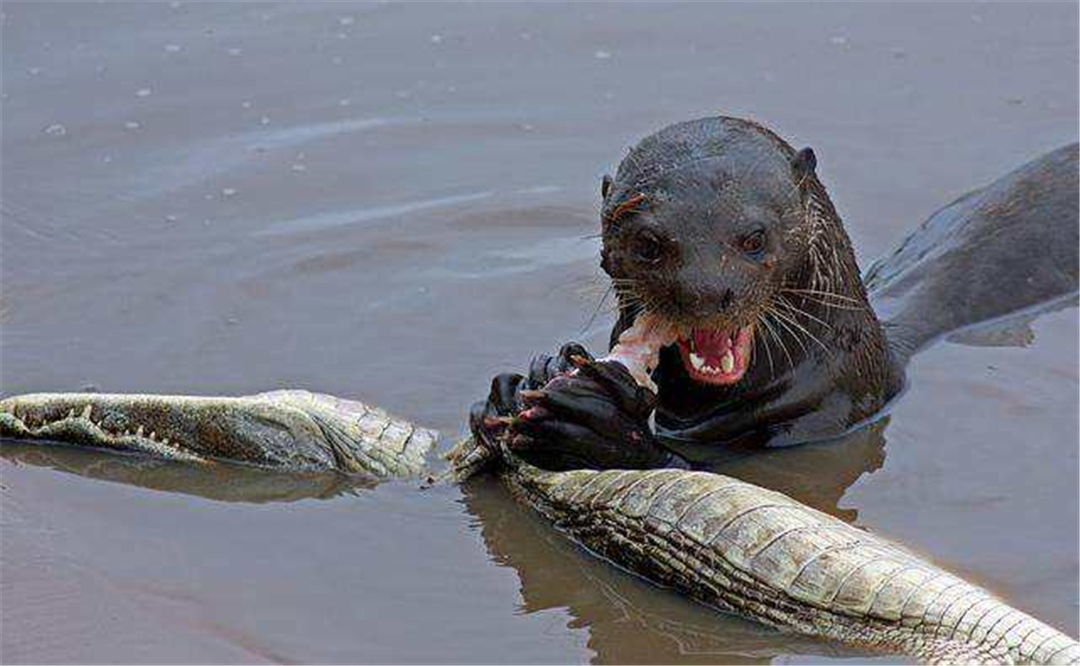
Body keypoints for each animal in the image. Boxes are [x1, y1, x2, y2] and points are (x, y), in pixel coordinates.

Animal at [470, 115, 1080, 468]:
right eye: (647, 242)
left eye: (754, 237)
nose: (705, 292)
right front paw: (519, 383)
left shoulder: (825, 417)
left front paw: (596, 425)